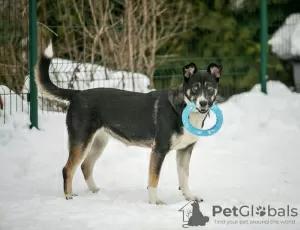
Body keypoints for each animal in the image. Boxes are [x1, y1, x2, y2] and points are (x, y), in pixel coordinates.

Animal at [35, 41, 223, 205]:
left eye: (210, 88)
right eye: (195, 88)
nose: (203, 103)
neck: (183, 108)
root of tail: (77, 94)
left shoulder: (185, 150)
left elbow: (184, 177)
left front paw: (190, 197)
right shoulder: (159, 150)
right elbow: (154, 179)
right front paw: (154, 202)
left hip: (98, 143)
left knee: (85, 166)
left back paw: (95, 191)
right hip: (81, 141)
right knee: (68, 168)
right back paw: (68, 196)